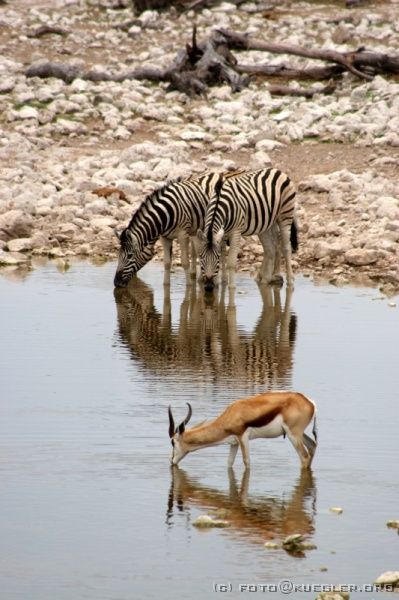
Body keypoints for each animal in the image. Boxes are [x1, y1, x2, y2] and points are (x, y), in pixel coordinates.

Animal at [113, 170, 247, 290]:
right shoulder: (165, 237)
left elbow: (184, 262)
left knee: (220, 249)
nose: (116, 283)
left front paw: (189, 286)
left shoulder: (183, 234)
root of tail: (221, 174)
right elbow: (167, 263)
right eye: (119, 254)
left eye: (130, 256)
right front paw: (166, 286)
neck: (165, 214)